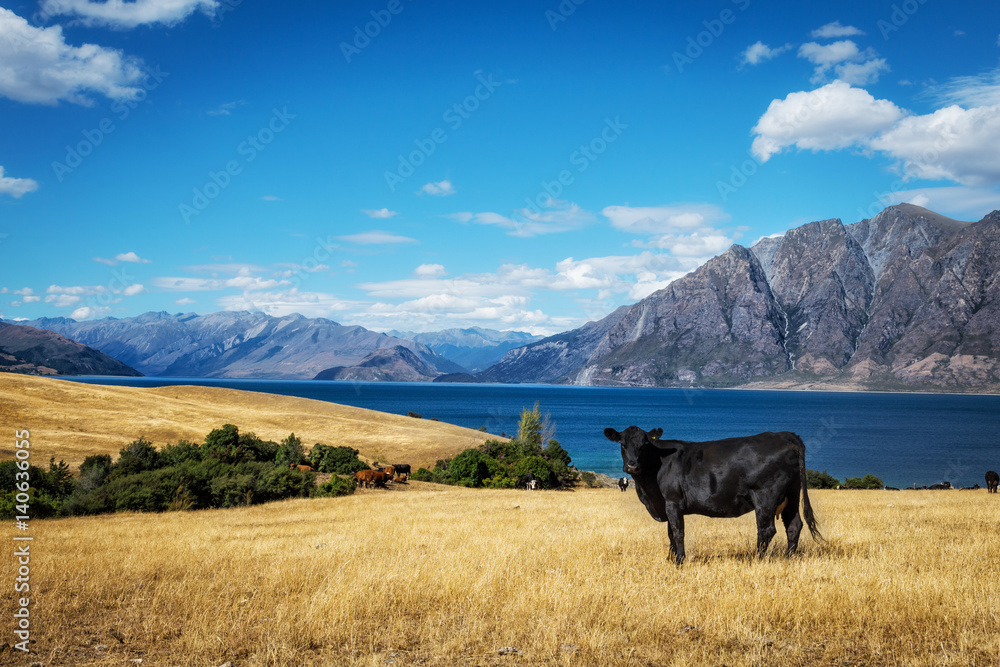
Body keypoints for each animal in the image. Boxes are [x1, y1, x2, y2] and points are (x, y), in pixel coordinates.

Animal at [600, 428, 820, 564]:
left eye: (644, 444)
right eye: (622, 444)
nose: (632, 466)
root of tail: (782, 435)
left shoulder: (672, 502)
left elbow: (678, 532)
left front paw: (679, 560)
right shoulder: (666, 505)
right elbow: (670, 533)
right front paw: (670, 558)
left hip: (765, 497)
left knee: (766, 530)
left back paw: (755, 559)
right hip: (791, 495)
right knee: (794, 526)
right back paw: (788, 557)